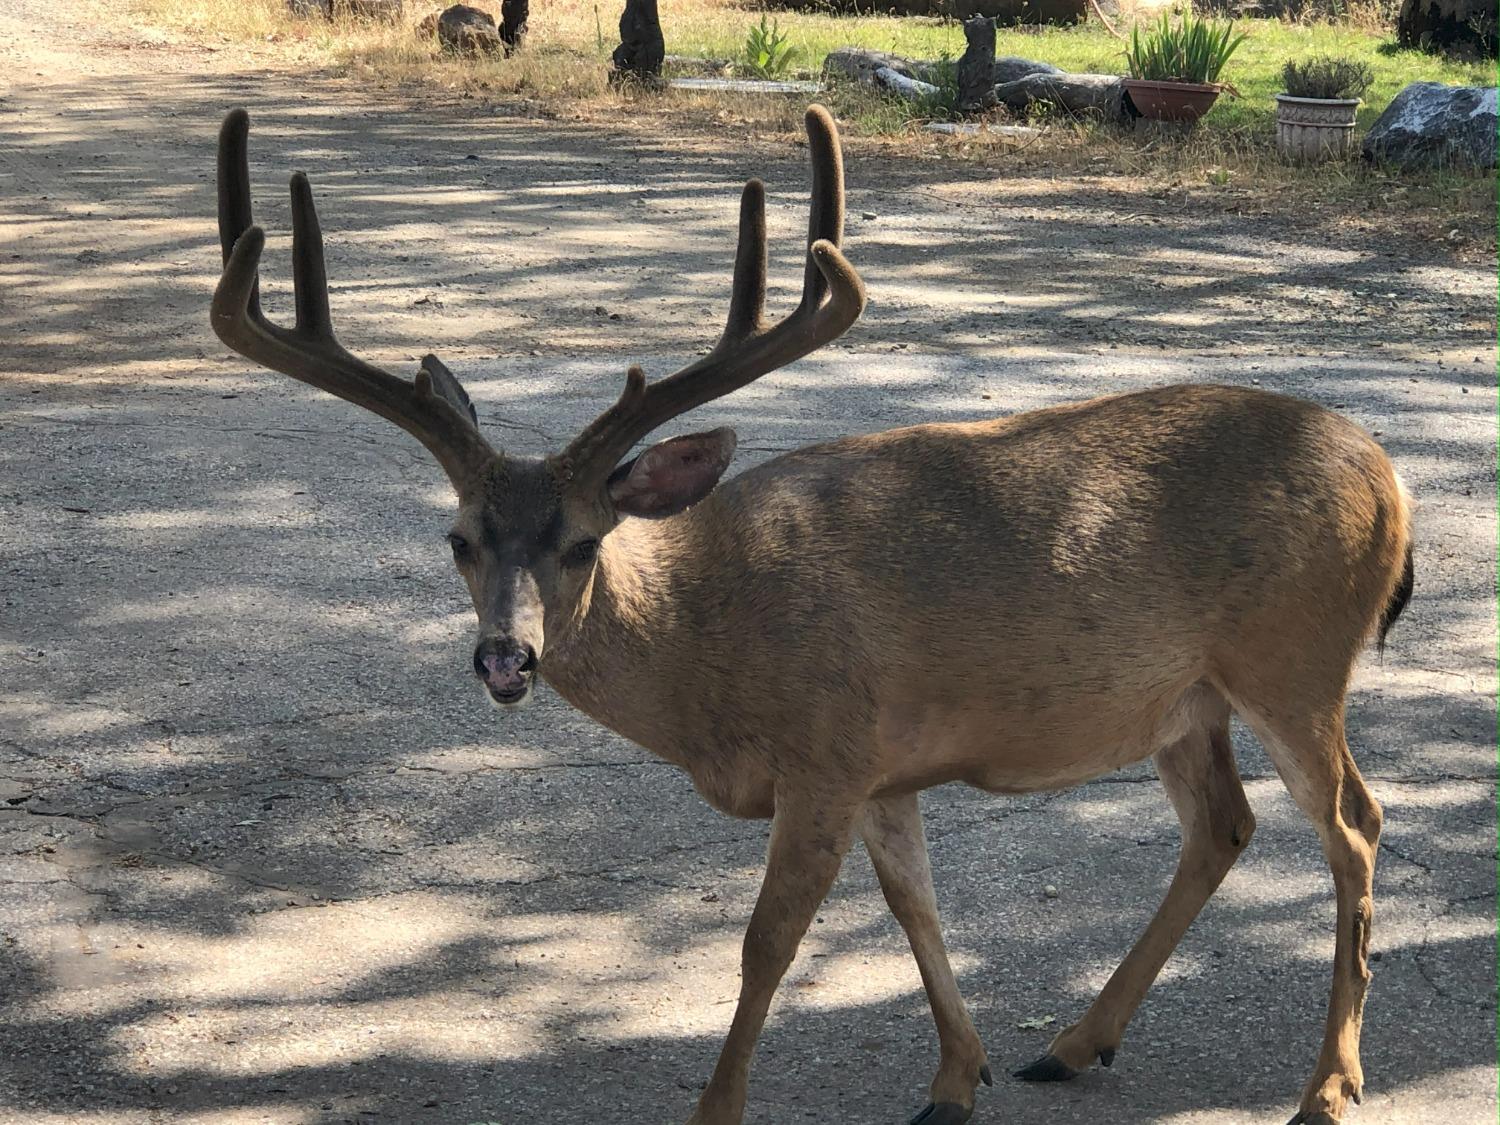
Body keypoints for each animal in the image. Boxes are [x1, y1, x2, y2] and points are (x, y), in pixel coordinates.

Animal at [211, 108, 1416, 1125]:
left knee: (1355, 826)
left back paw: (1328, 1086)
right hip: (1187, 699)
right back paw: (1075, 1043)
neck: (711, 647)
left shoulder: (827, 746)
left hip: (1296, 660)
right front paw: (957, 1078)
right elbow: (915, 907)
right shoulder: (883, 767)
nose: (506, 657)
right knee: (1224, 824)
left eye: (584, 541)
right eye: (459, 539)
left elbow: (767, 942)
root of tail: (1392, 482)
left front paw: (718, 1109)